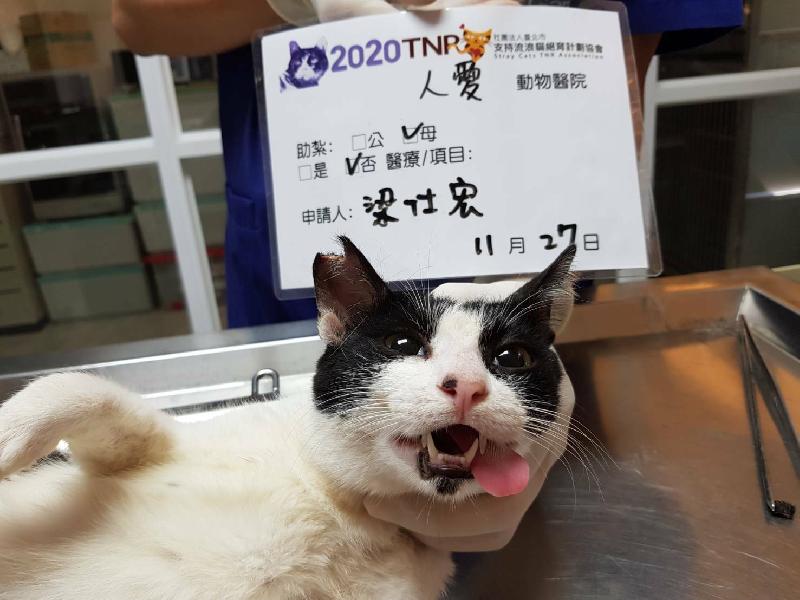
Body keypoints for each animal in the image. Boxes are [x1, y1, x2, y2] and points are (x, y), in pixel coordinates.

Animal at [0, 237, 576, 600]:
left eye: (511, 358)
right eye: (403, 344)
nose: (468, 385)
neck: (343, 507)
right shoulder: (149, 442)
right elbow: (78, 389)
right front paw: (8, 438)